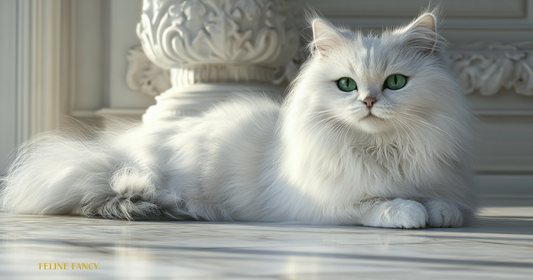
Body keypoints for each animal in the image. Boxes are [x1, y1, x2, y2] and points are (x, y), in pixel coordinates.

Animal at [1, 12, 474, 229]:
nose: (369, 101)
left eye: (395, 82)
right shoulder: (323, 204)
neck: (381, 148)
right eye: (345, 85)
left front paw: (438, 212)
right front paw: (407, 212)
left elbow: (443, 203)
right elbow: (377, 203)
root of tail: (107, 151)